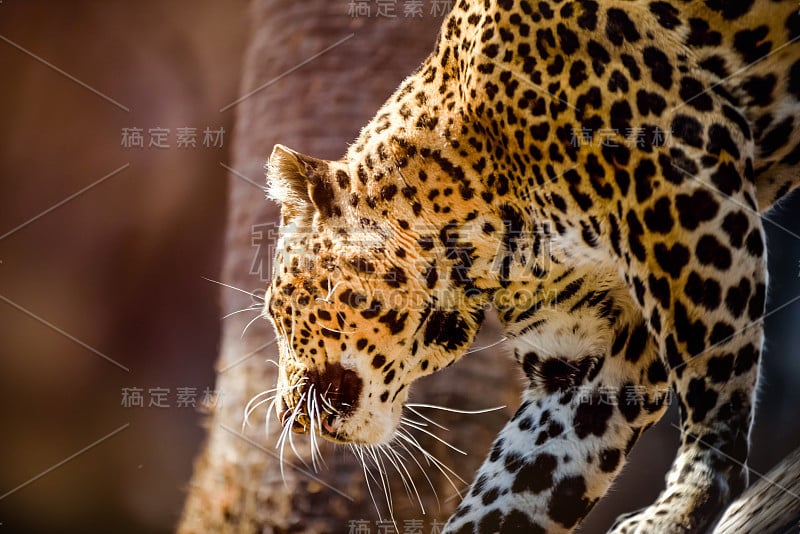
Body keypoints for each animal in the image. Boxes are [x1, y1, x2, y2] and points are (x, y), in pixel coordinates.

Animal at [262, 2, 800, 532]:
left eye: (276, 312)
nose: (291, 415)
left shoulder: (682, 186)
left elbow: (716, 372)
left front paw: (681, 507)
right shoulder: (586, 357)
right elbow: (524, 480)